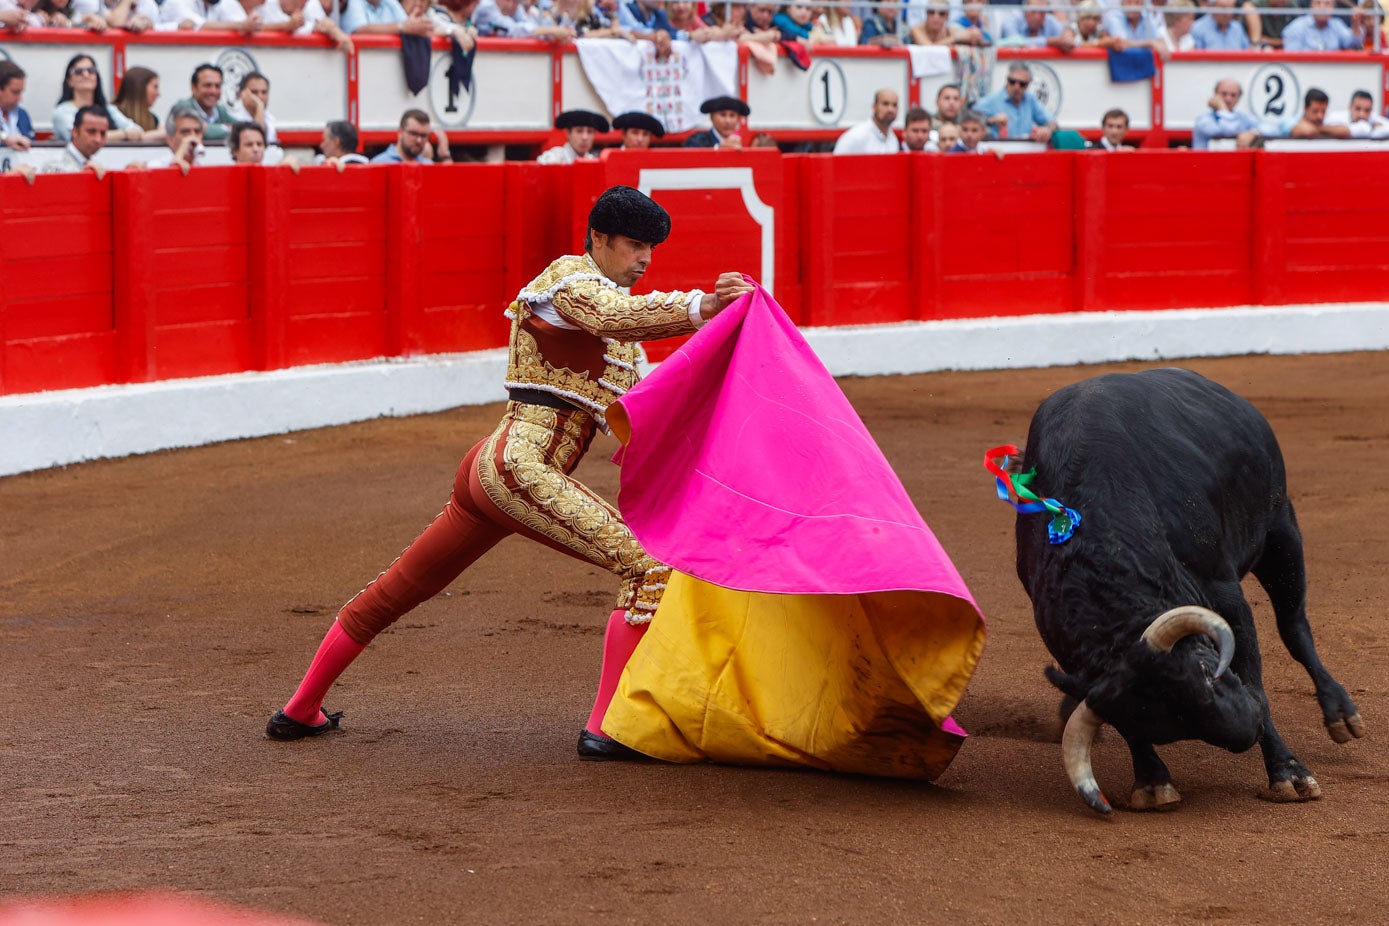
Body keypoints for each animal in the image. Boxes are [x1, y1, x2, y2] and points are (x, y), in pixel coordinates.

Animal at [1016, 366, 1361, 816]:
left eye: (1204, 673)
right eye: (1155, 724)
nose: (1247, 730)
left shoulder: (1225, 595)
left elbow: (1257, 679)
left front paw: (1288, 773)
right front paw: (1151, 782)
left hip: (1282, 531)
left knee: (1294, 627)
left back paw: (1340, 713)